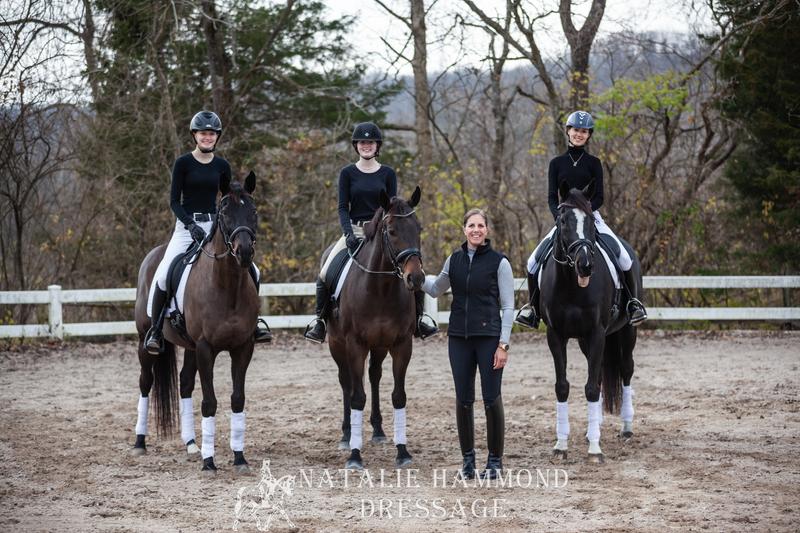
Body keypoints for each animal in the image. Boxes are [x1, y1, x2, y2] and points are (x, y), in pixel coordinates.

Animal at [133, 172, 260, 472]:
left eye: (253, 211)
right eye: (224, 213)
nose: (244, 252)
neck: (228, 288)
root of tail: (153, 254)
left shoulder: (243, 348)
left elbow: (237, 399)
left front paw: (239, 457)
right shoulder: (206, 348)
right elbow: (210, 403)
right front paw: (209, 462)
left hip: (189, 345)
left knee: (185, 383)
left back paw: (191, 443)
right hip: (145, 340)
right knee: (145, 382)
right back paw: (140, 442)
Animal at [324, 185, 424, 468]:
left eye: (419, 228)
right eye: (391, 231)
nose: (416, 278)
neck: (380, 289)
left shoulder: (402, 344)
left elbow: (398, 395)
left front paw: (403, 452)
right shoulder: (354, 344)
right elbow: (357, 396)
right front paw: (354, 455)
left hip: (379, 346)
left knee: (375, 375)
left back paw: (378, 431)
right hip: (337, 344)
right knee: (346, 382)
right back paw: (347, 435)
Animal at [540, 182, 640, 462]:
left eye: (591, 223)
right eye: (563, 220)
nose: (585, 265)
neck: (572, 285)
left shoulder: (596, 333)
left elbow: (592, 389)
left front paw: (595, 449)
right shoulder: (556, 335)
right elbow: (563, 387)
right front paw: (561, 444)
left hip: (627, 332)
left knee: (626, 370)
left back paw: (626, 427)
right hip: (586, 342)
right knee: (600, 375)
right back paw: (592, 429)